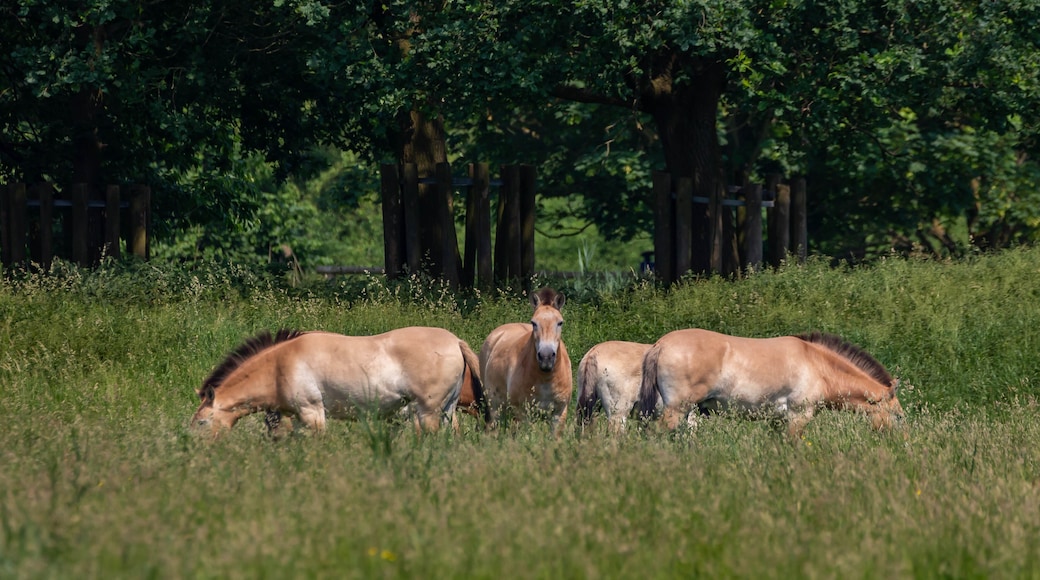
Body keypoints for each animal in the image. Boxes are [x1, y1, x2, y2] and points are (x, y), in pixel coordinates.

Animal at [190, 327, 484, 436]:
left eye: (201, 423)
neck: (280, 365)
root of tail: (455, 341)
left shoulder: (312, 414)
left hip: (428, 413)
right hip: (445, 412)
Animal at [479, 288, 573, 437]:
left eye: (560, 323)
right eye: (534, 323)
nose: (546, 357)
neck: (545, 378)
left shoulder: (559, 413)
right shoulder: (523, 414)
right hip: (495, 407)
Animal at [637, 329, 904, 438]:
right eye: (899, 417)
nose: (901, 442)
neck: (817, 365)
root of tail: (660, 345)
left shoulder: (778, 420)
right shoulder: (799, 415)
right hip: (676, 410)